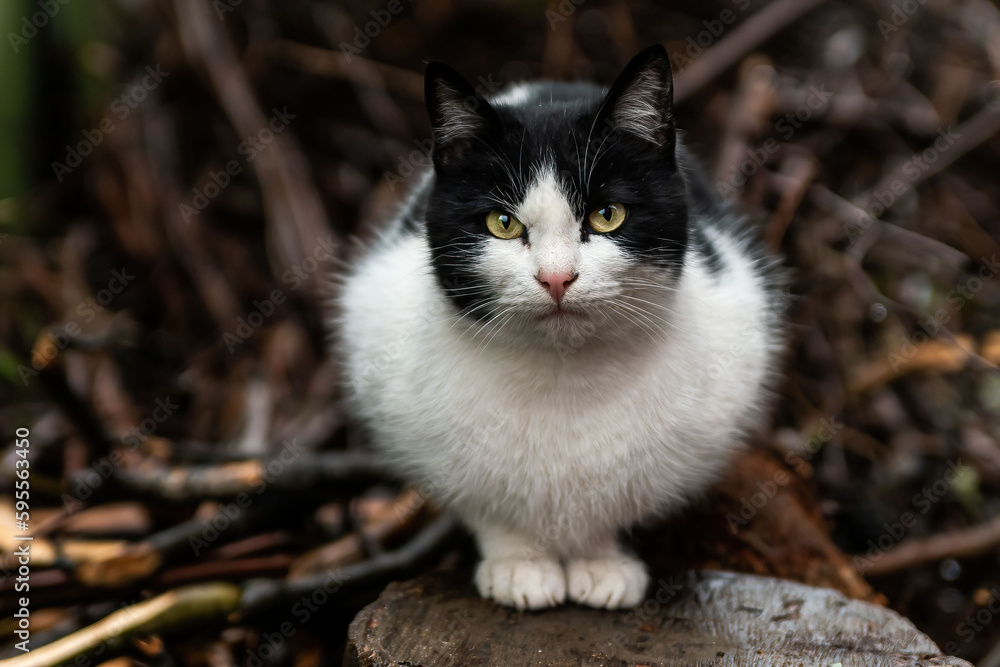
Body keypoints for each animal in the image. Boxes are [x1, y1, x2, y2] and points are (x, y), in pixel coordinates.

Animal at [340, 45, 784, 612]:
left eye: (608, 215)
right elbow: (491, 510)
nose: (556, 277)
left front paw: (602, 566)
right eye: (502, 223)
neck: (563, 375)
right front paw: (520, 568)